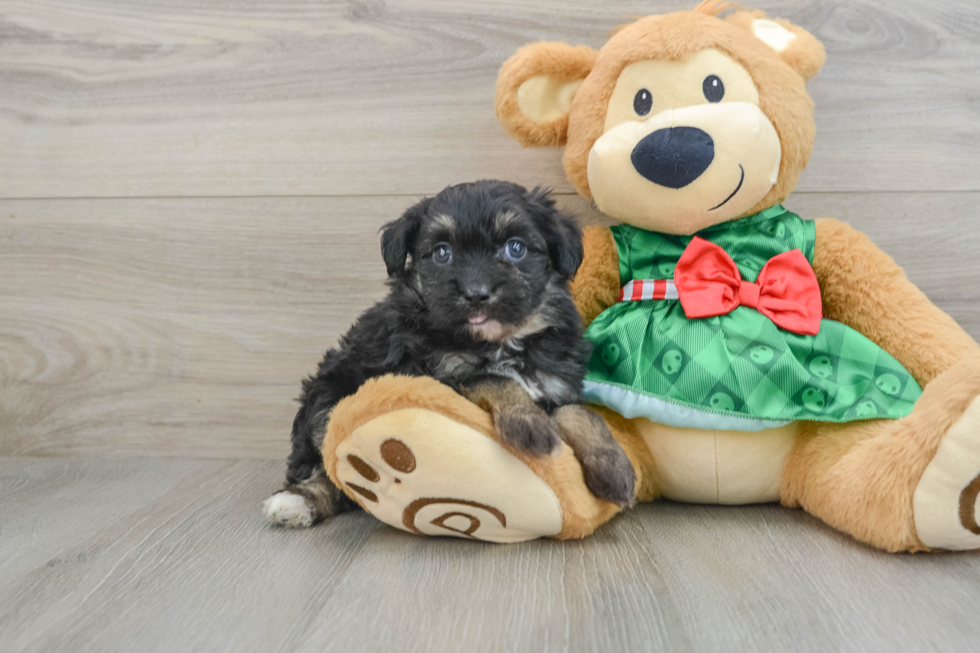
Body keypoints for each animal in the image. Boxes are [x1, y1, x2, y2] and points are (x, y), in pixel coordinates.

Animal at [262, 181, 636, 528]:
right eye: (442, 253)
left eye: (515, 248)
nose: (476, 293)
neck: (498, 342)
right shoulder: (437, 376)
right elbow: (492, 378)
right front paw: (529, 424)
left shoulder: (557, 384)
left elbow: (581, 414)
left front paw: (615, 468)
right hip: (326, 399)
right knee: (329, 469)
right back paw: (298, 501)